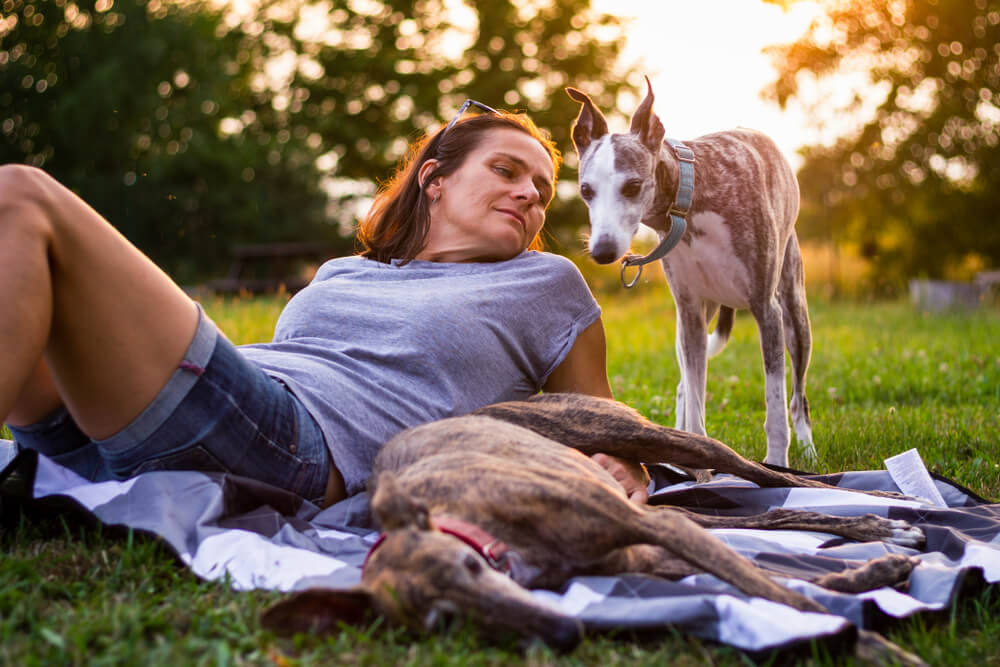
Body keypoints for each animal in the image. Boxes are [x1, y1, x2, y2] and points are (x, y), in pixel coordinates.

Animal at [568, 82, 816, 470]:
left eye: (633, 186)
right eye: (585, 190)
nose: (603, 251)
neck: (691, 199)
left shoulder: (766, 310)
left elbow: (775, 403)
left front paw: (776, 460)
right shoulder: (689, 312)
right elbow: (696, 399)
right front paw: (698, 457)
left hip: (794, 313)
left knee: (798, 394)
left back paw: (806, 447)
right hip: (693, 322)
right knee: (685, 383)